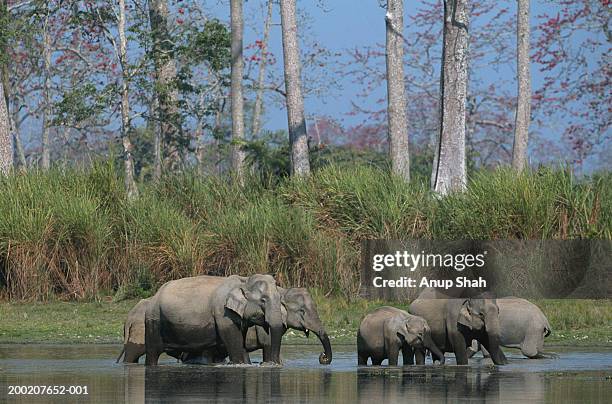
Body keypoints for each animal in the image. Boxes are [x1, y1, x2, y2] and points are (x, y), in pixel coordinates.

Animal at [145, 274, 286, 366]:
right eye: (263, 300)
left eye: (280, 298)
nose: (270, 363)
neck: (244, 280)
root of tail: (154, 295)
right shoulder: (222, 313)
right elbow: (234, 340)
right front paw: (238, 363)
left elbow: (241, 340)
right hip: (153, 320)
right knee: (153, 353)